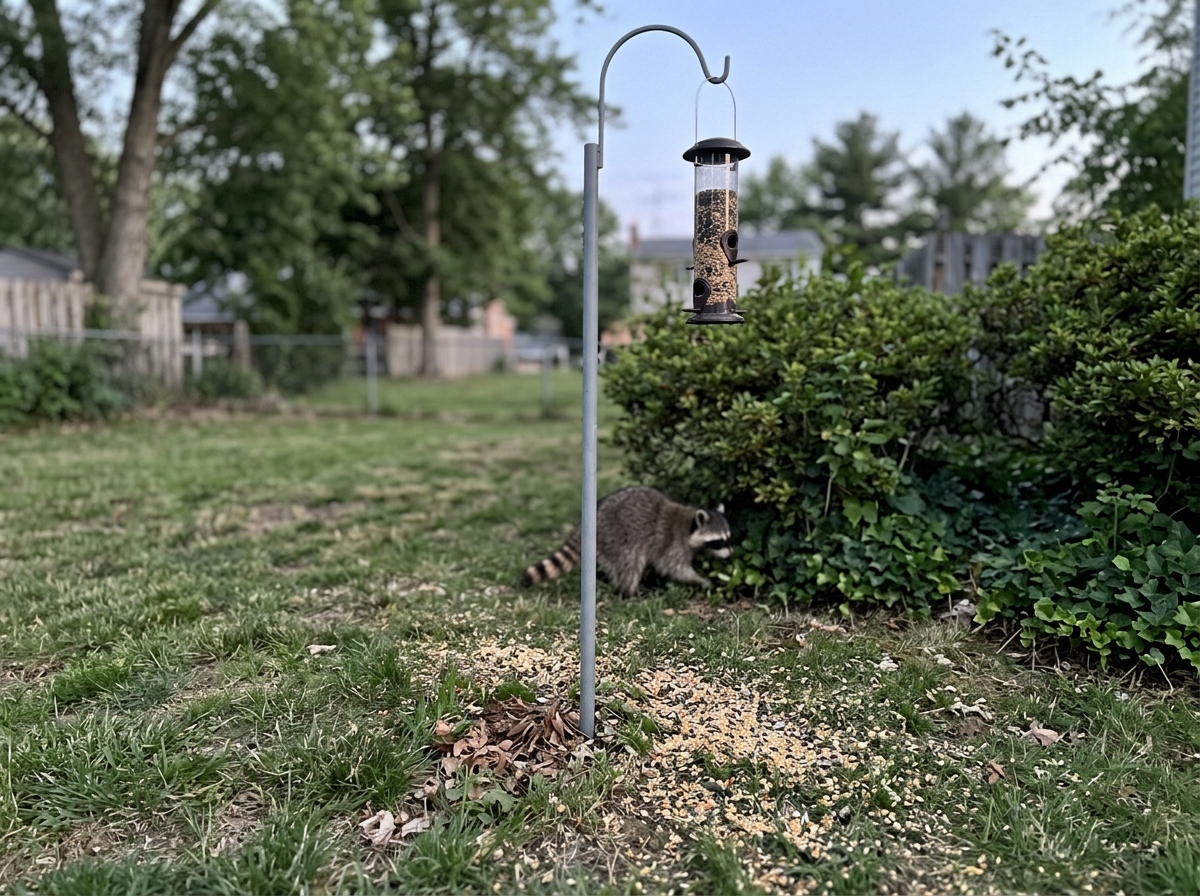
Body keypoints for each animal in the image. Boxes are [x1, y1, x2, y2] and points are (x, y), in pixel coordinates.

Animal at [520, 487, 732, 596]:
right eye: (718, 542)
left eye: (728, 539)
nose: (730, 555)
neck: (688, 525)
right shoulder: (672, 544)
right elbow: (674, 568)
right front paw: (700, 579)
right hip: (617, 537)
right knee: (630, 564)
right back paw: (628, 591)